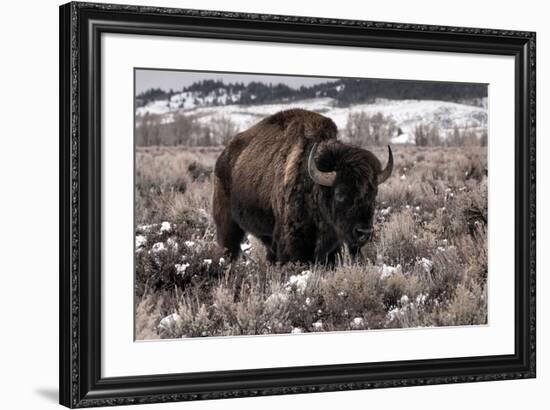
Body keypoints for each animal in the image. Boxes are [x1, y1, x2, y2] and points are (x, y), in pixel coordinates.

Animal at [213, 107, 394, 264]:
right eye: (340, 194)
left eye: (373, 193)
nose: (364, 233)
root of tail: (223, 157)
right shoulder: (293, 242)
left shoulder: (332, 246)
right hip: (228, 224)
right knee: (229, 247)